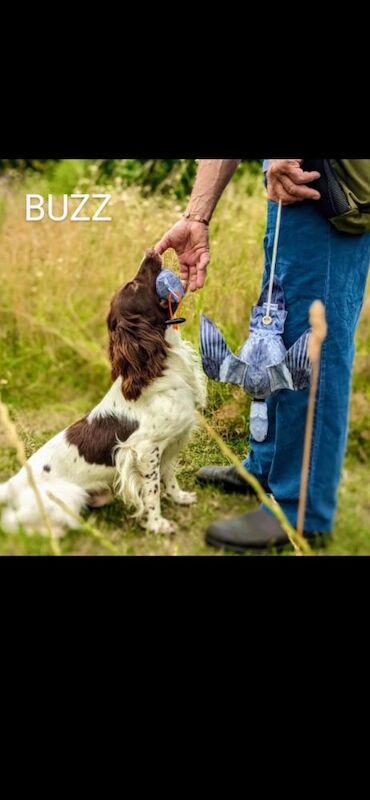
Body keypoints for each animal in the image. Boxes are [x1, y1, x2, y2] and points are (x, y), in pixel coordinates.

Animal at [0, 250, 207, 536]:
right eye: (133, 286)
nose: (151, 251)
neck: (158, 369)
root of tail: (12, 484)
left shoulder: (170, 442)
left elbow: (169, 475)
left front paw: (179, 497)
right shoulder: (144, 450)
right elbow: (152, 492)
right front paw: (157, 524)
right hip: (68, 497)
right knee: (15, 523)